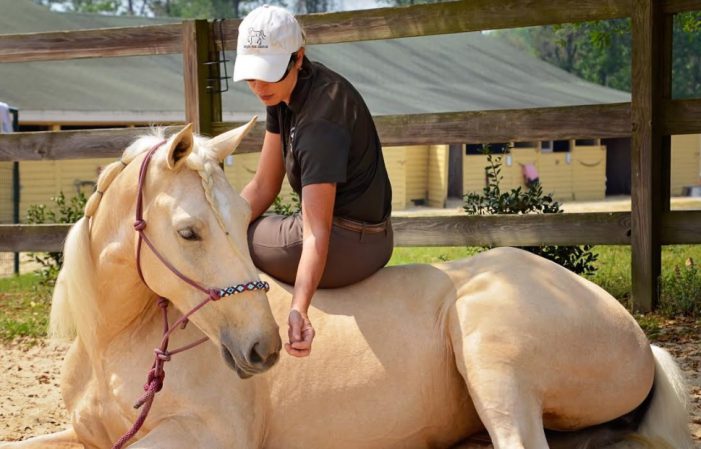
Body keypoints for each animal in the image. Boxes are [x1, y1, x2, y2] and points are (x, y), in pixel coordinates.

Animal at [2, 119, 692, 448]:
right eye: (190, 232)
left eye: (239, 222)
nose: (264, 349)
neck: (116, 345)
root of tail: (638, 335)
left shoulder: (205, 440)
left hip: (492, 360)